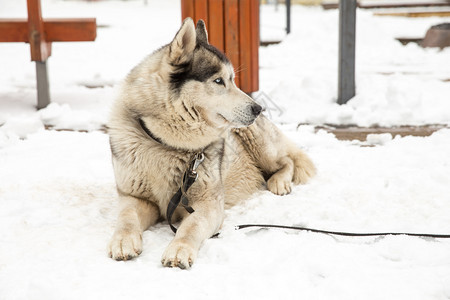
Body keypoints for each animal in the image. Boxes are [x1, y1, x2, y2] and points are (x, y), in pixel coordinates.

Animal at [107, 17, 314, 268]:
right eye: (218, 81)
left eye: (233, 80)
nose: (258, 108)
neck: (167, 144)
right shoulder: (135, 198)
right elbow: (126, 218)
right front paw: (123, 241)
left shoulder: (208, 205)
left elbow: (190, 227)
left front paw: (179, 249)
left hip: (257, 142)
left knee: (287, 160)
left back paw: (279, 182)